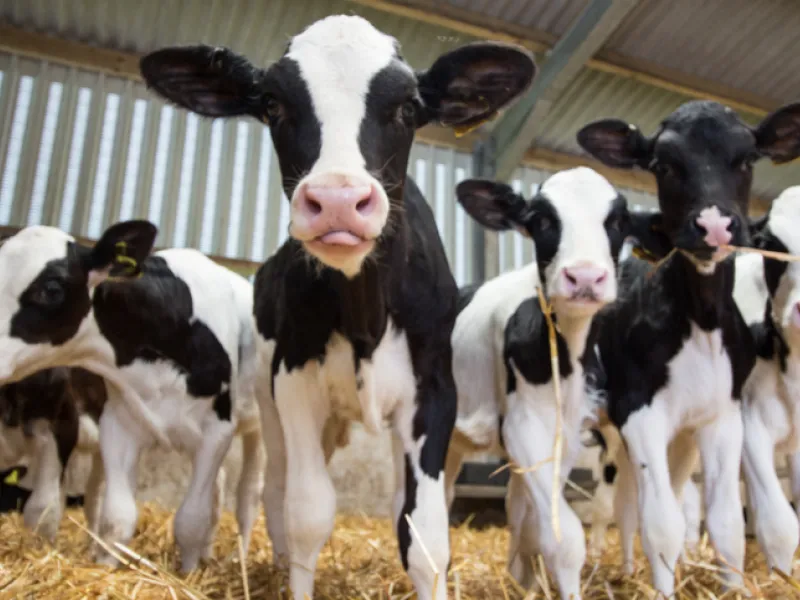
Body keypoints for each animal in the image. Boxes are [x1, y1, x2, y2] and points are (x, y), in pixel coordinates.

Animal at [137, 14, 537, 600]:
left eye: (409, 106)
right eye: (273, 103)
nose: (339, 201)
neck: (365, 312)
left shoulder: (434, 392)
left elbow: (425, 533)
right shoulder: (294, 381)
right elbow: (308, 513)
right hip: (269, 400)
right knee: (277, 490)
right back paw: (279, 559)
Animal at [444, 166, 638, 597]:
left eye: (618, 221)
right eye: (543, 221)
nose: (585, 276)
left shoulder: (564, 435)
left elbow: (533, 521)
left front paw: (525, 577)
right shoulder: (524, 427)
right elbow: (563, 539)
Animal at [576, 99, 800, 595]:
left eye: (747, 158)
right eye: (663, 164)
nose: (714, 225)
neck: (701, 321)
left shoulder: (722, 417)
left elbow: (725, 522)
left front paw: (734, 588)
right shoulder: (638, 412)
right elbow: (660, 524)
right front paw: (662, 591)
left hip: (677, 439)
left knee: (646, 501)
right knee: (614, 505)